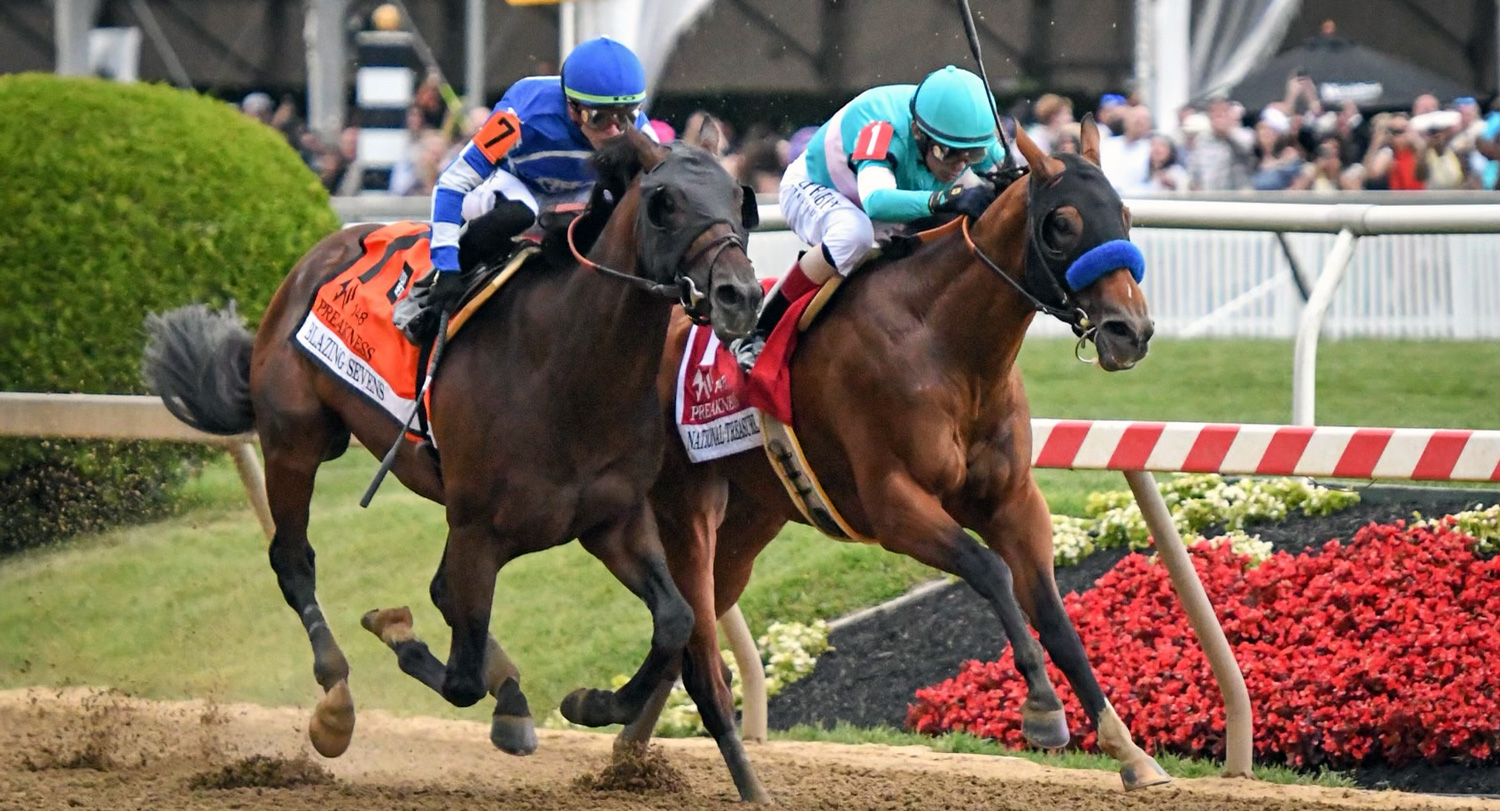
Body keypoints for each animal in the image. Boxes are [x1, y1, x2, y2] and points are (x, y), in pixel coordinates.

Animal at [143, 129, 762, 779]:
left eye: (738, 198)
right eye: (665, 203)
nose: (740, 295)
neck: (565, 370)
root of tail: (317, 254)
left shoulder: (612, 518)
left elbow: (676, 619)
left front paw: (589, 702)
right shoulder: (476, 528)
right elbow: (461, 677)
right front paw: (396, 630)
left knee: (436, 591)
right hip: (294, 441)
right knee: (294, 561)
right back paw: (335, 699)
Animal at [609, 116, 1170, 791]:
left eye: (1126, 212)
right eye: (1062, 224)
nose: (1129, 331)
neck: (945, 344)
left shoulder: (1013, 500)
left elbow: (1056, 618)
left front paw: (1129, 752)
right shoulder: (893, 504)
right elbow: (990, 570)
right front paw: (1042, 708)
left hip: (749, 520)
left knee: (691, 632)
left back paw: (618, 734)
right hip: (686, 511)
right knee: (693, 639)